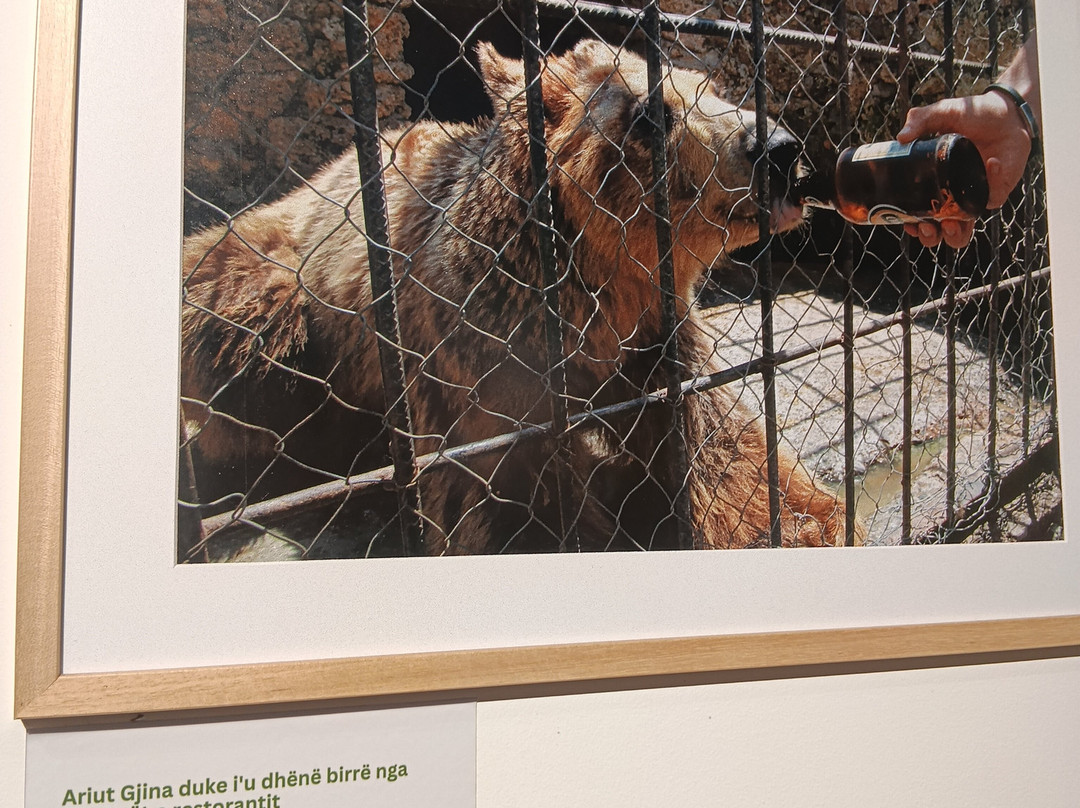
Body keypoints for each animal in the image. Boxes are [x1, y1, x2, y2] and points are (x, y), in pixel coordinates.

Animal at [180, 39, 852, 558]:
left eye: (710, 86)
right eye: (652, 113)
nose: (779, 147)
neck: (598, 289)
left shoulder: (655, 332)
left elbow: (715, 438)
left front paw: (800, 521)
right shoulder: (482, 360)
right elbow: (507, 499)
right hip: (268, 275)